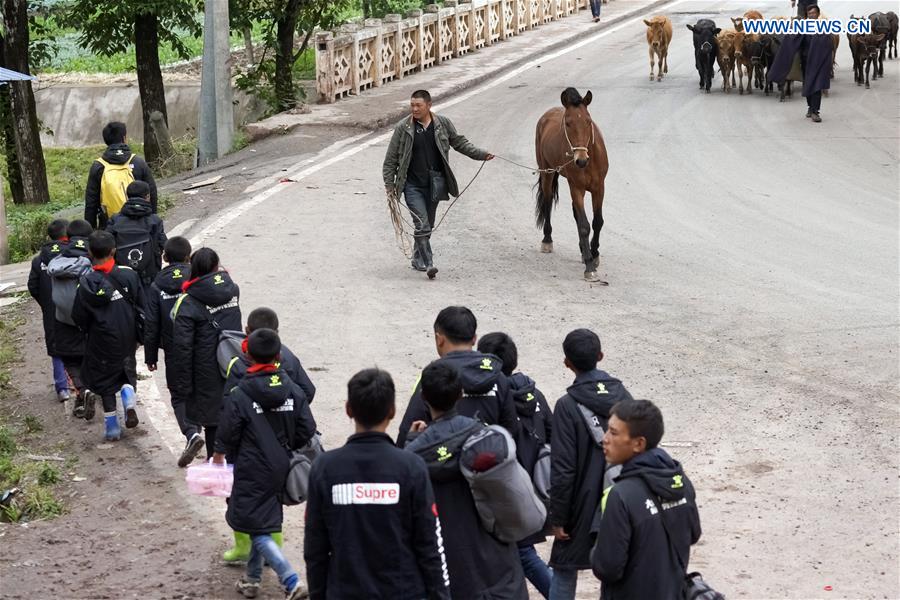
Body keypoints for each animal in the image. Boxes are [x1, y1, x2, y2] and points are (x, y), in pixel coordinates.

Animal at [536, 88, 612, 282]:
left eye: (588, 121)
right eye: (568, 123)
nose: (581, 160)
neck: (590, 161)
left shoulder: (599, 188)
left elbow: (597, 222)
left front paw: (594, 253)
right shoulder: (576, 188)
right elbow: (584, 226)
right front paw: (589, 266)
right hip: (547, 172)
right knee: (547, 202)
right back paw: (547, 240)